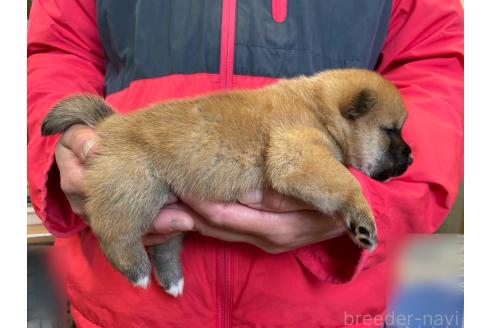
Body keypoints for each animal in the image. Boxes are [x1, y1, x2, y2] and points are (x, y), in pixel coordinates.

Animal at [41, 69, 412, 298]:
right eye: (390, 131)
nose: (411, 159)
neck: (319, 109)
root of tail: (109, 123)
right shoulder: (298, 157)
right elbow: (348, 182)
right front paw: (363, 221)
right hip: (136, 187)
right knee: (113, 228)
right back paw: (136, 271)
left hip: (166, 204)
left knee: (165, 245)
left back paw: (172, 280)